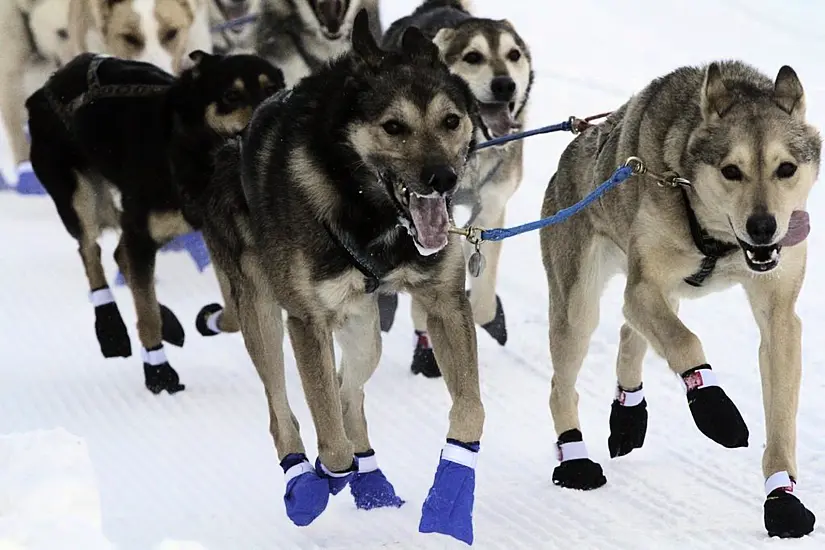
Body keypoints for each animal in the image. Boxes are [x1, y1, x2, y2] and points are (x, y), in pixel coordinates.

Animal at [26, 50, 284, 396]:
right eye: (232, 95)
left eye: (272, 88)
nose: (265, 117)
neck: (187, 147)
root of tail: (49, 84)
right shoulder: (142, 234)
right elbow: (146, 316)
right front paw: (159, 372)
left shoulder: (209, 232)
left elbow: (230, 310)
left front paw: (211, 319)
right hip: (80, 199)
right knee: (91, 251)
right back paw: (111, 329)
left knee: (120, 257)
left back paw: (169, 323)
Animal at [374, 0, 532, 380]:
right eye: (473, 57)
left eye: (514, 54)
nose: (505, 85)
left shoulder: (492, 204)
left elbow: (482, 292)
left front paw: (488, 312)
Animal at [540, 59, 816, 540]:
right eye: (731, 170)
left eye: (785, 168)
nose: (763, 227)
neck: (719, 240)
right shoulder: (644, 286)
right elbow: (686, 343)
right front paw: (714, 408)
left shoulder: (779, 315)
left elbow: (781, 421)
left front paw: (783, 499)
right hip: (579, 307)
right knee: (563, 385)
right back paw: (575, 462)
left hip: (660, 292)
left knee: (630, 334)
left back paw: (628, 415)